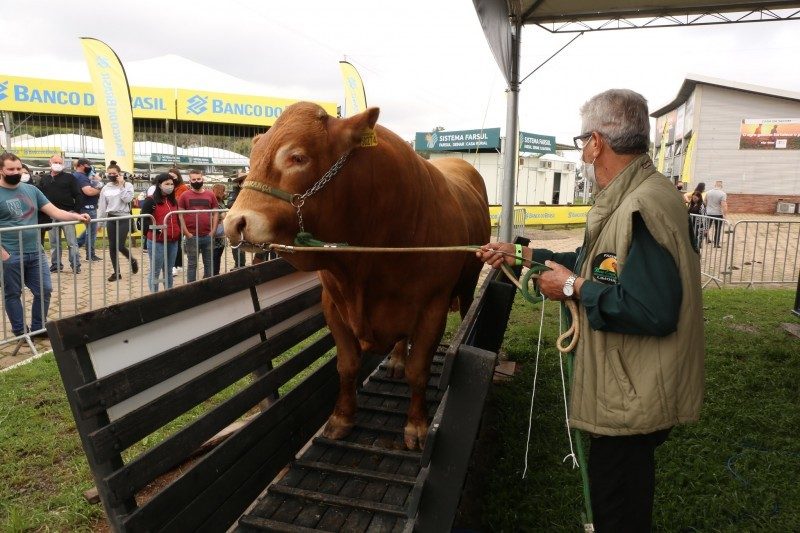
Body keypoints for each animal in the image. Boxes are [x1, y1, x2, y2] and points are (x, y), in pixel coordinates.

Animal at [222, 101, 490, 448]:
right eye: (252, 161)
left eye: (298, 157)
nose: (234, 223)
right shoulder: (333, 304)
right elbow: (347, 365)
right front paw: (342, 418)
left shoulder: (434, 306)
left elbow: (419, 370)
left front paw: (416, 425)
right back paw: (396, 359)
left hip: (469, 281)